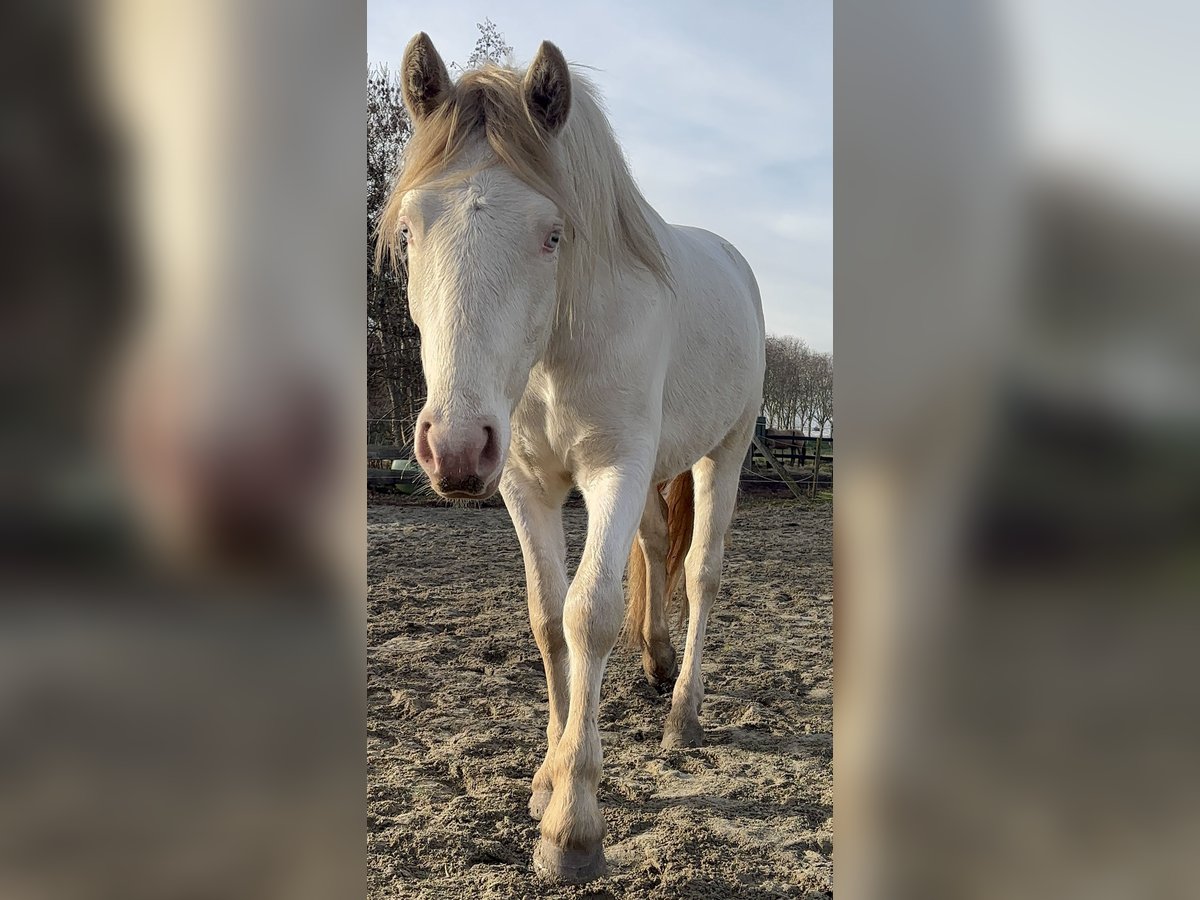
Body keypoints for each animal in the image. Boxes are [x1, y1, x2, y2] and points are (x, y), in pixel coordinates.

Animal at [377, 33, 766, 883]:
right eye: (412, 229)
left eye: (552, 233)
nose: (455, 444)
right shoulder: (527, 485)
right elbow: (549, 618)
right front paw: (547, 778)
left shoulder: (616, 469)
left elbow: (591, 615)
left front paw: (573, 826)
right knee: (657, 548)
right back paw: (657, 667)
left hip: (725, 448)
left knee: (701, 572)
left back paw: (684, 713)